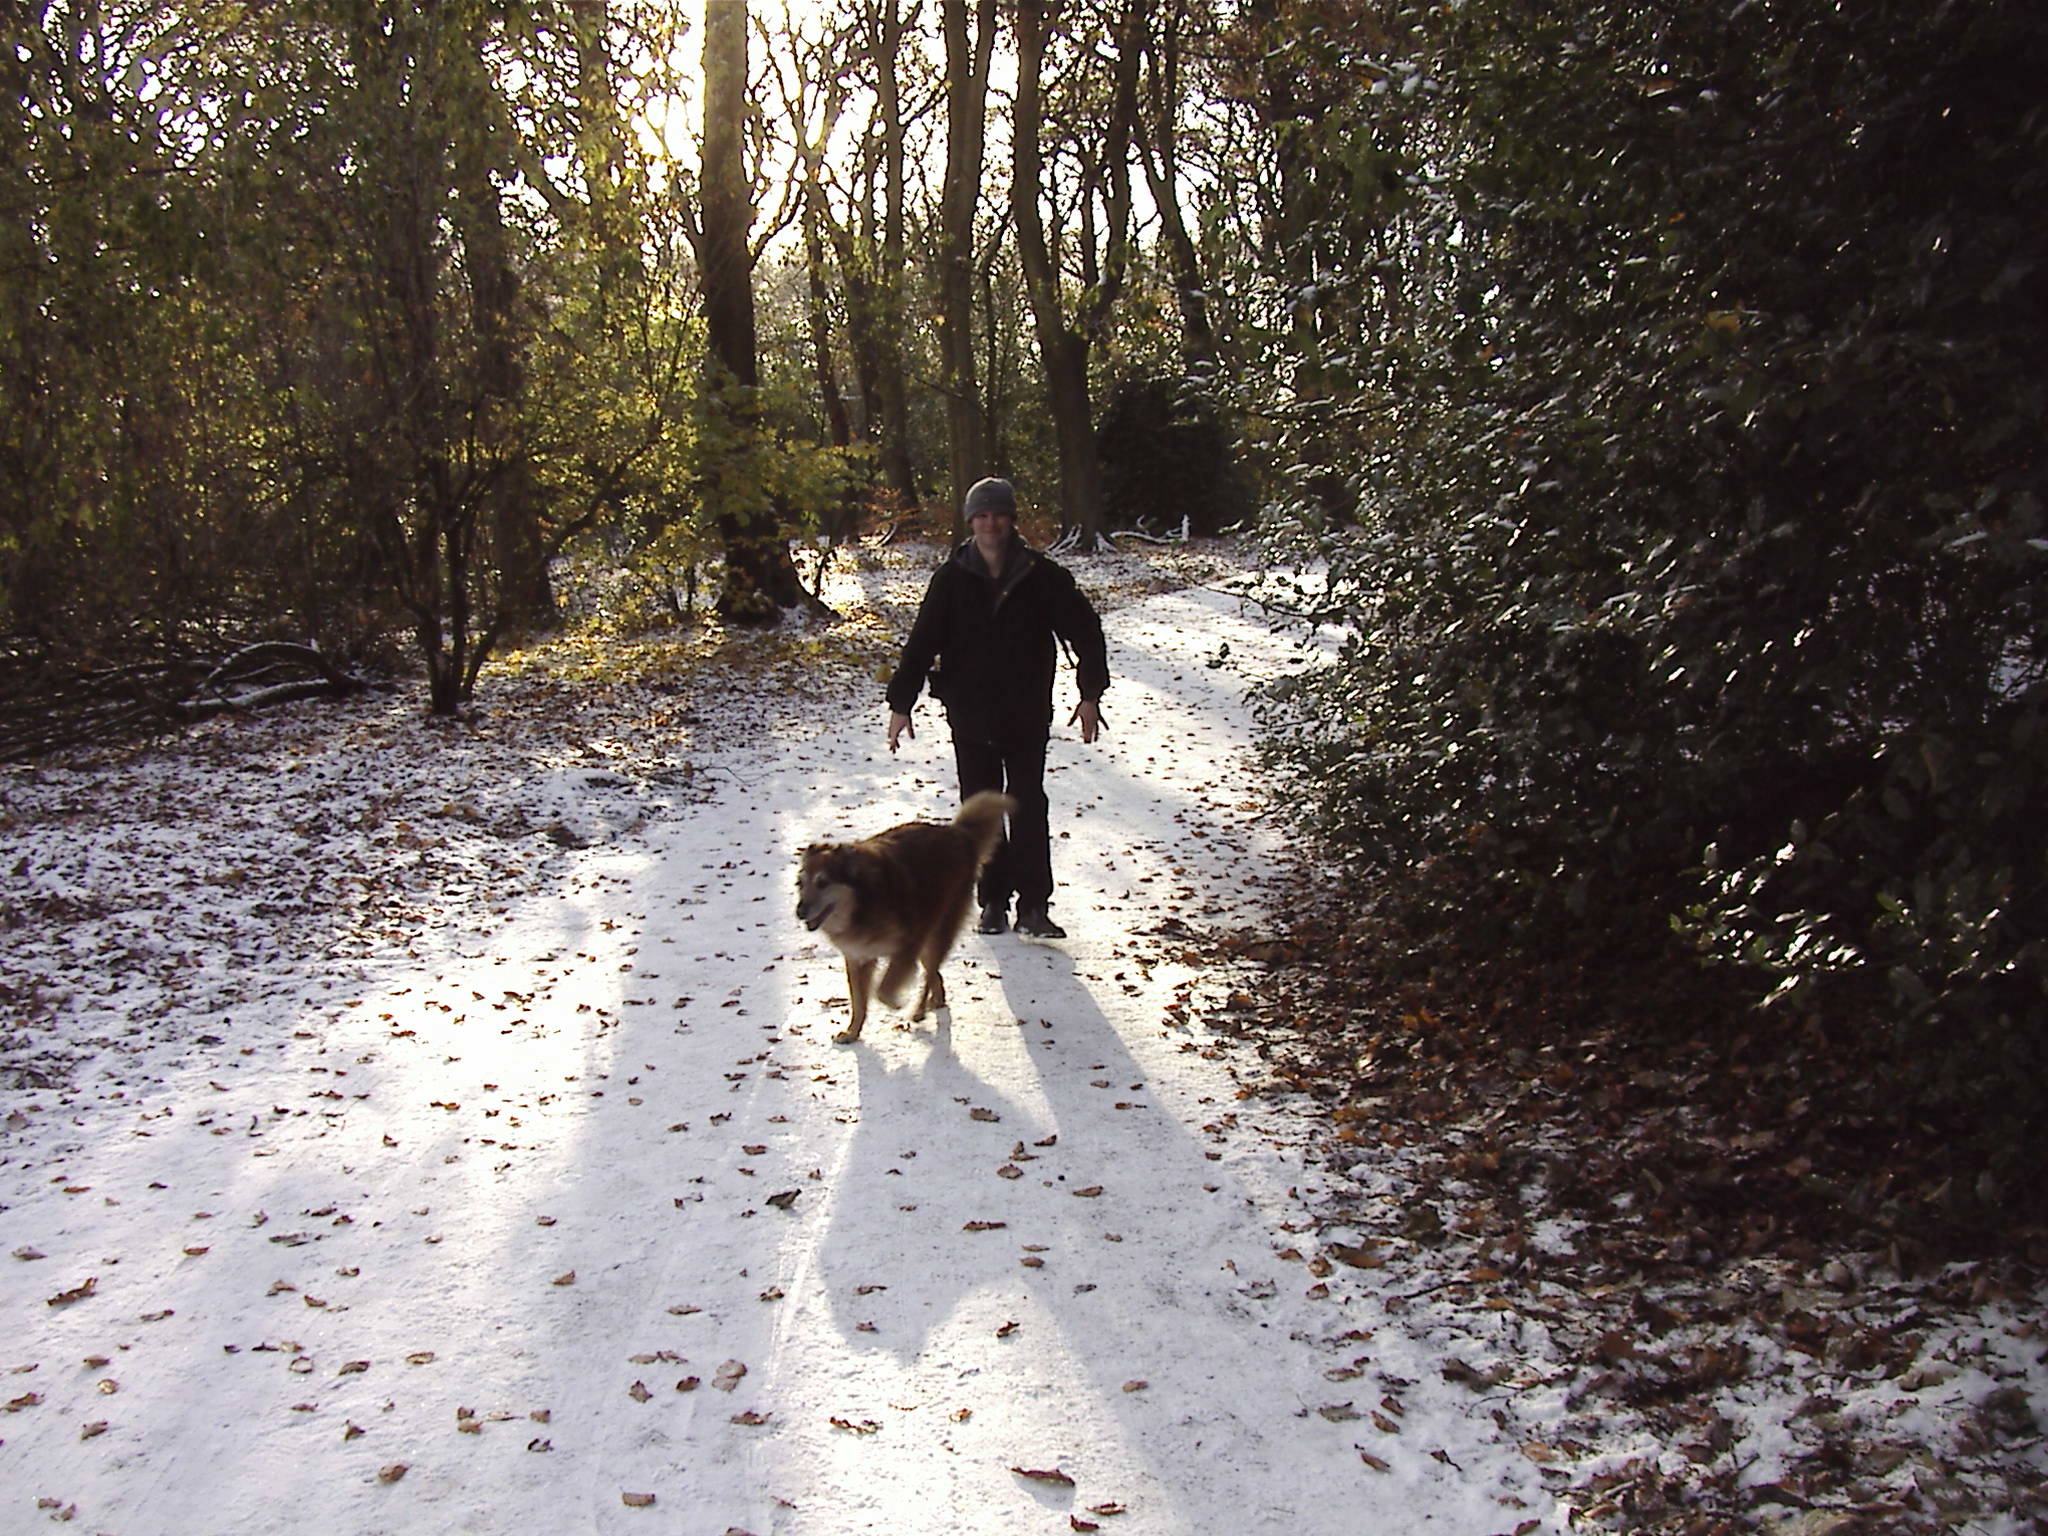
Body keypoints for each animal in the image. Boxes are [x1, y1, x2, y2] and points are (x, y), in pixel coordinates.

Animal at [794, 794, 1011, 1048]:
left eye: (822, 883)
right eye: (800, 883)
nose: (799, 912)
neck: (862, 901)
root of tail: (959, 833)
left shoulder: (908, 946)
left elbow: (882, 990)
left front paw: (896, 1003)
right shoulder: (858, 959)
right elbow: (858, 1003)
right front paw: (852, 1033)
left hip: (936, 932)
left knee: (929, 972)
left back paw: (918, 1010)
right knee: (933, 972)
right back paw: (935, 999)